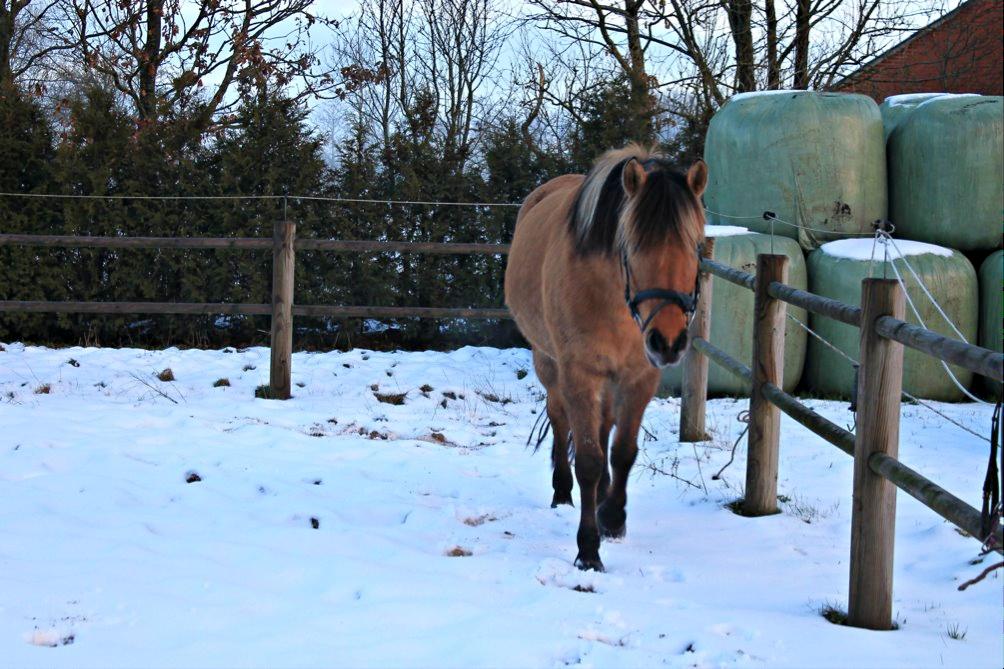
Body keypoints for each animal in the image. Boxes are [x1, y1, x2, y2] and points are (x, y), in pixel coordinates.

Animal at [501, 143, 706, 570]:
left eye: (696, 246)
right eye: (632, 245)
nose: (668, 342)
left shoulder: (640, 377)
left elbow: (623, 451)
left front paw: (612, 516)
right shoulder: (579, 374)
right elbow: (589, 461)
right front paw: (588, 549)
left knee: (603, 426)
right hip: (549, 364)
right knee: (560, 419)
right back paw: (562, 492)